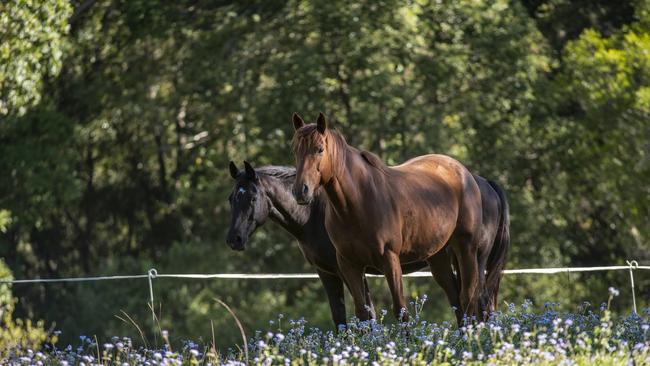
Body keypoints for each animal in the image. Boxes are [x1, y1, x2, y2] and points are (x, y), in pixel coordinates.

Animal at [292, 112, 502, 324]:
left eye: (319, 149)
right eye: (295, 149)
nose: (301, 191)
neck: (358, 203)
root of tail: (467, 175)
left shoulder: (389, 259)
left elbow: (401, 310)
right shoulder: (349, 264)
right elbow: (362, 313)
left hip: (467, 249)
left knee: (469, 297)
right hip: (439, 257)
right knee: (456, 300)